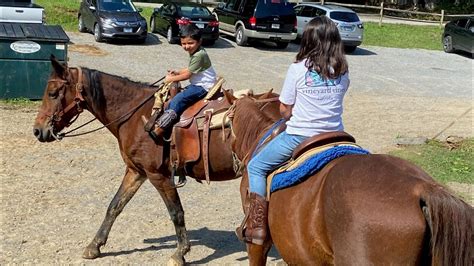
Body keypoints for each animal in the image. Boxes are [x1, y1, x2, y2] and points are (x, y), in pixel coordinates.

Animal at [31, 57, 276, 264]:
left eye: (53, 93)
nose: (37, 130)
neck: (137, 115)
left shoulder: (158, 176)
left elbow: (176, 213)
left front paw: (180, 253)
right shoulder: (136, 171)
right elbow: (115, 206)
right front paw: (95, 246)